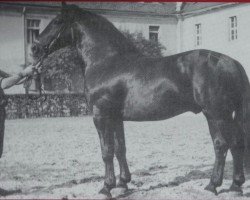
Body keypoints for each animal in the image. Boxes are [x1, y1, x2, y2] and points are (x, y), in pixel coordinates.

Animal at [31, 2, 250, 197]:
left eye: (58, 21)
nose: (34, 48)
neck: (107, 62)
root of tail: (233, 63)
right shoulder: (115, 117)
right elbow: (120, 148)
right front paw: (123, 184)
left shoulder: (101, 115)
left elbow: (106, 151)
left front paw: (106, 187)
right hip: (219, 115)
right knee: (229, 144)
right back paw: (226, 186)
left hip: (217, 114)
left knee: (228, 143)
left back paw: (222, 186)